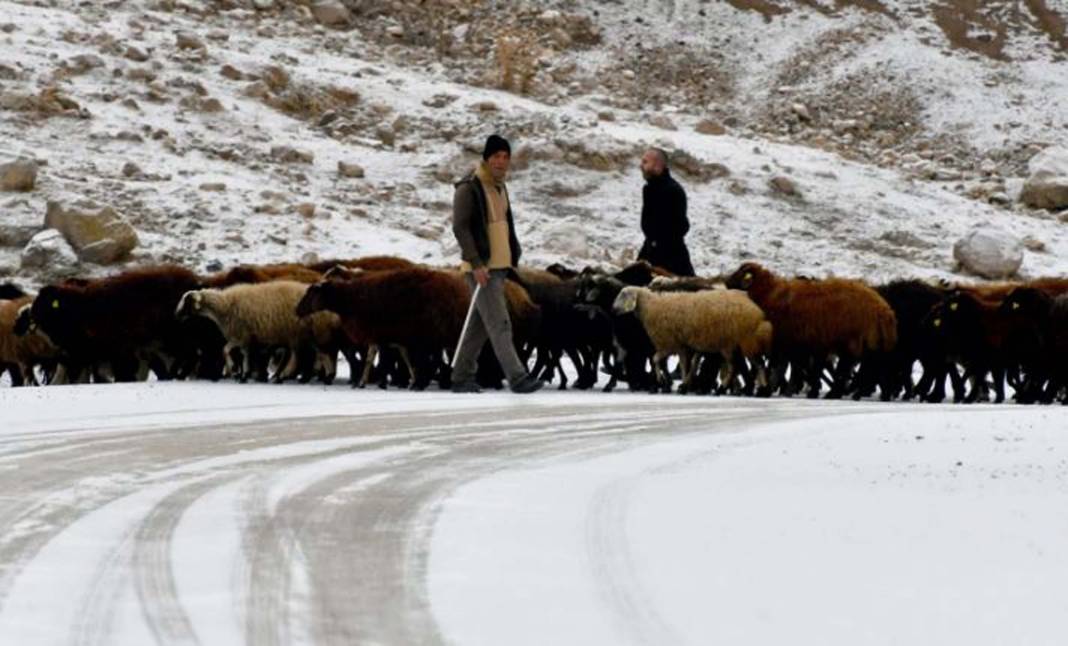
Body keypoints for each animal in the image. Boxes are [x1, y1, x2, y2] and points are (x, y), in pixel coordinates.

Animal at [615, 286, 773, 392]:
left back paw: (726, 388)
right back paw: (758, 388)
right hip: (741, 343)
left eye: (623, 295)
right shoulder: (682, 345)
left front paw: (665, 381)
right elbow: (685, 365)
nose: (612, 309)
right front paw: (682, 384)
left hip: (734, 343)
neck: (651, 308)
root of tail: (758, 312)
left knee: (739, 366)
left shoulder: (669, 344)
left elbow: (657, 360)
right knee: (753, 364)